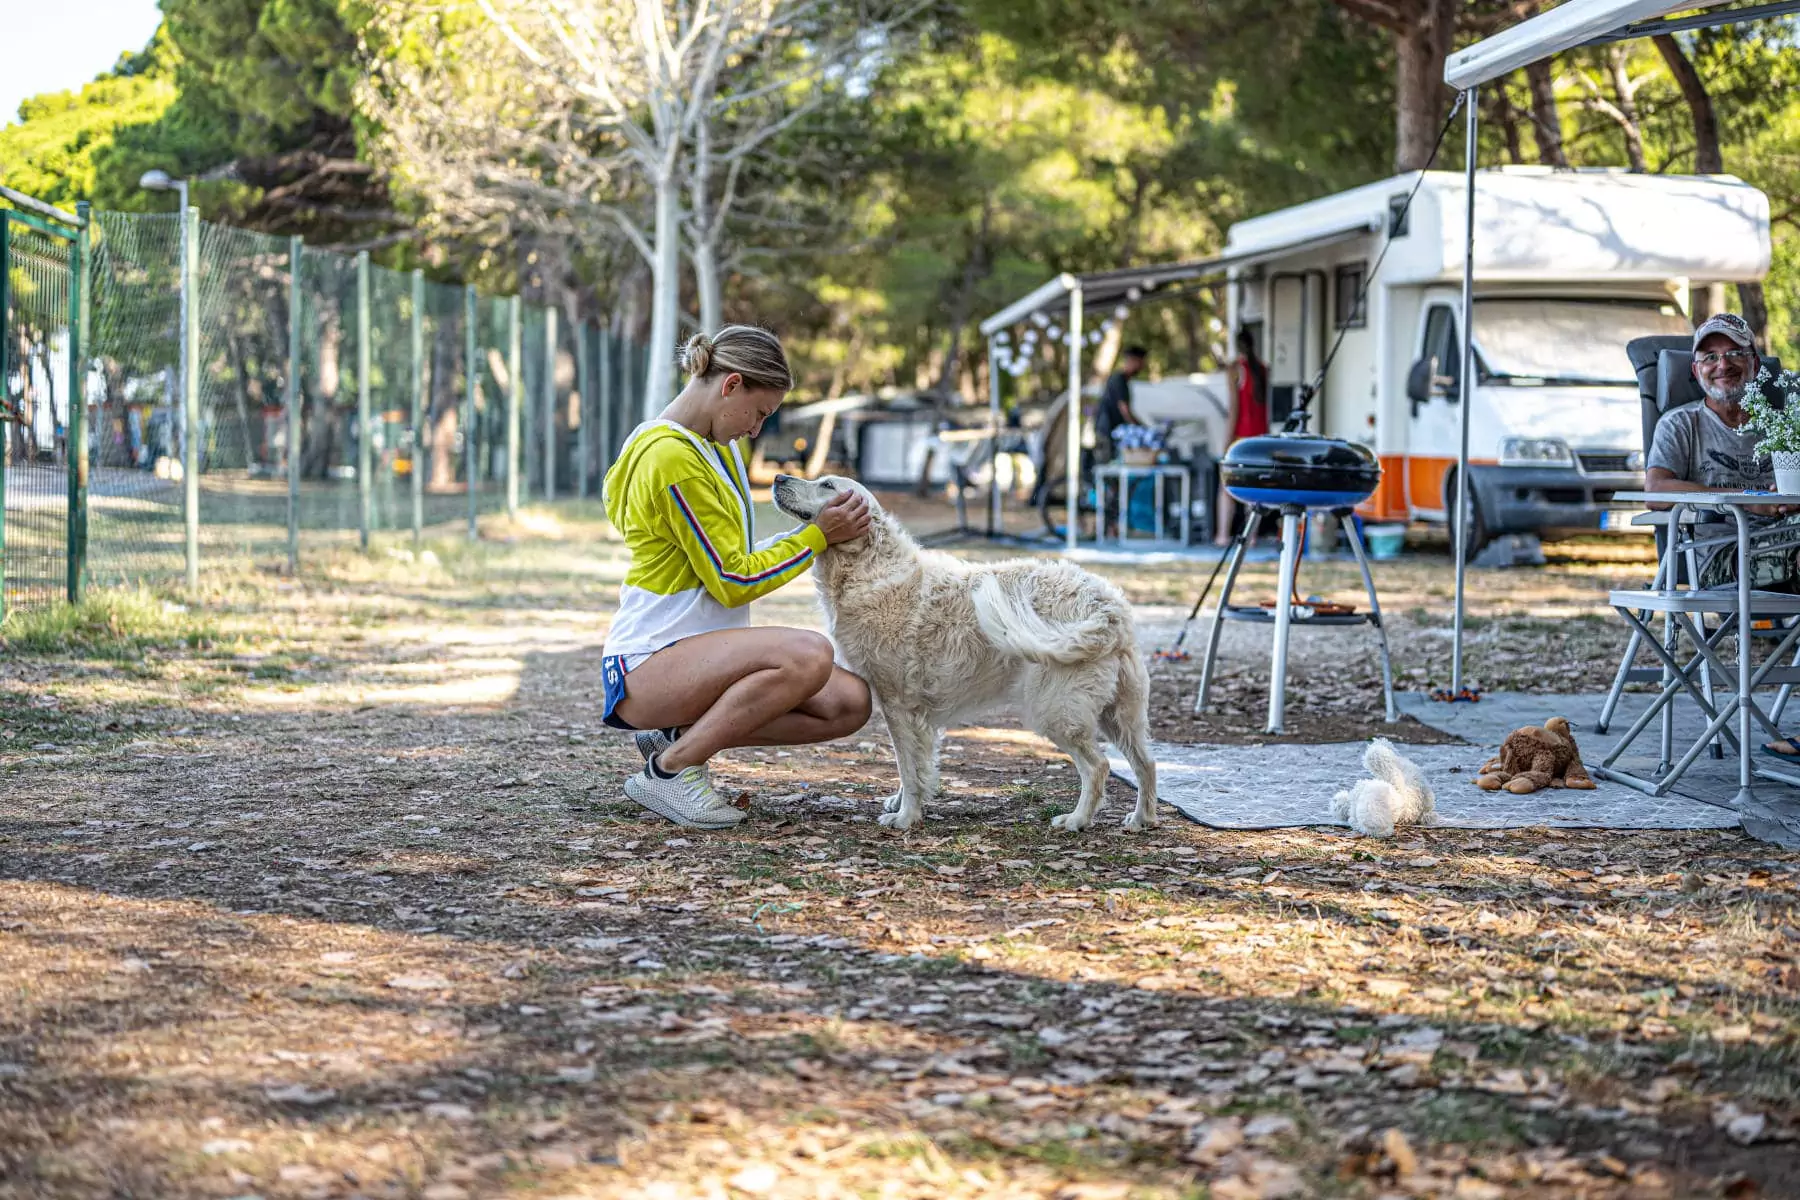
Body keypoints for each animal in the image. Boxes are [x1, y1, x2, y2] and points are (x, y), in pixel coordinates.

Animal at [770, 471, 1159, 834]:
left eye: (827, 485)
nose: (778, 478)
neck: (869, 567)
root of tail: (1106, 606)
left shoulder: (899, 705)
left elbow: (908, 767)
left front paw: (906, 816)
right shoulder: (912, 714)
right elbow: (916, 765)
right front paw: (902, 802)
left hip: (1056, 709)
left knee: (1098, 766)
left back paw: (1077, 820)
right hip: (1120, 713)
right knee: (1146, 763)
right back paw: (1142, 818)